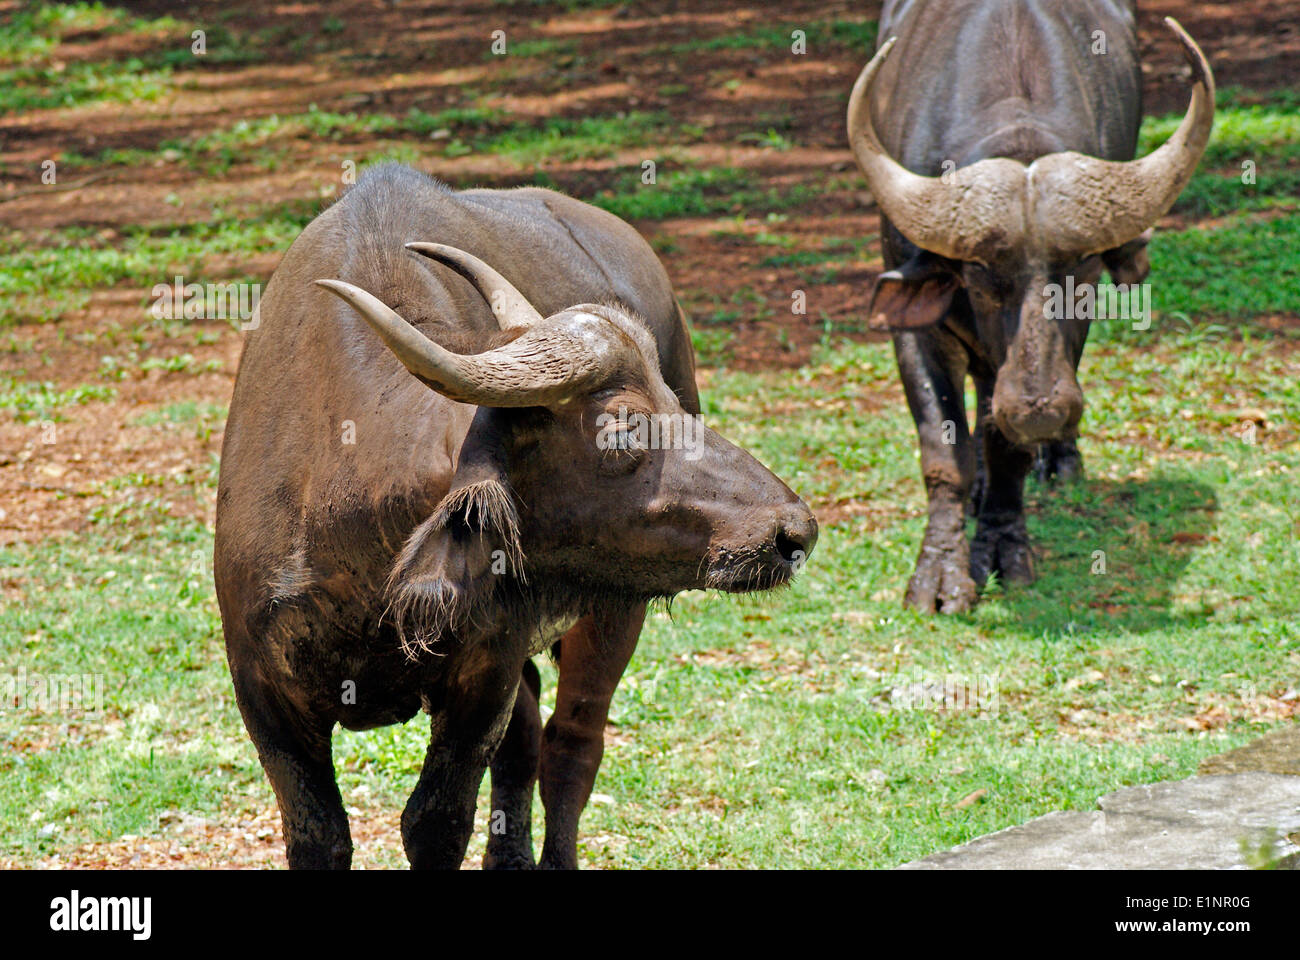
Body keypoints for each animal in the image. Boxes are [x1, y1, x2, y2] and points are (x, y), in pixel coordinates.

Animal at [217, 166, 816, 868]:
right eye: (621, 427)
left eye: (674, 401)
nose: (794, 530)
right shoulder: (263, 690)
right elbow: (319, 833)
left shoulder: (484, 673)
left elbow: (436, 820)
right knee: (530, 737)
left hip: (616, 604)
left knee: (570, 744)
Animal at [847, 0, 1211, 608]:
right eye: (979, 273)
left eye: (1083, 267)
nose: (1041, 409)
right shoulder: (915, 329)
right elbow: (943, 451)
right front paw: (940, 573)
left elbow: (1005, 446)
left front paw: (1002, 546)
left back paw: (1057, 460)